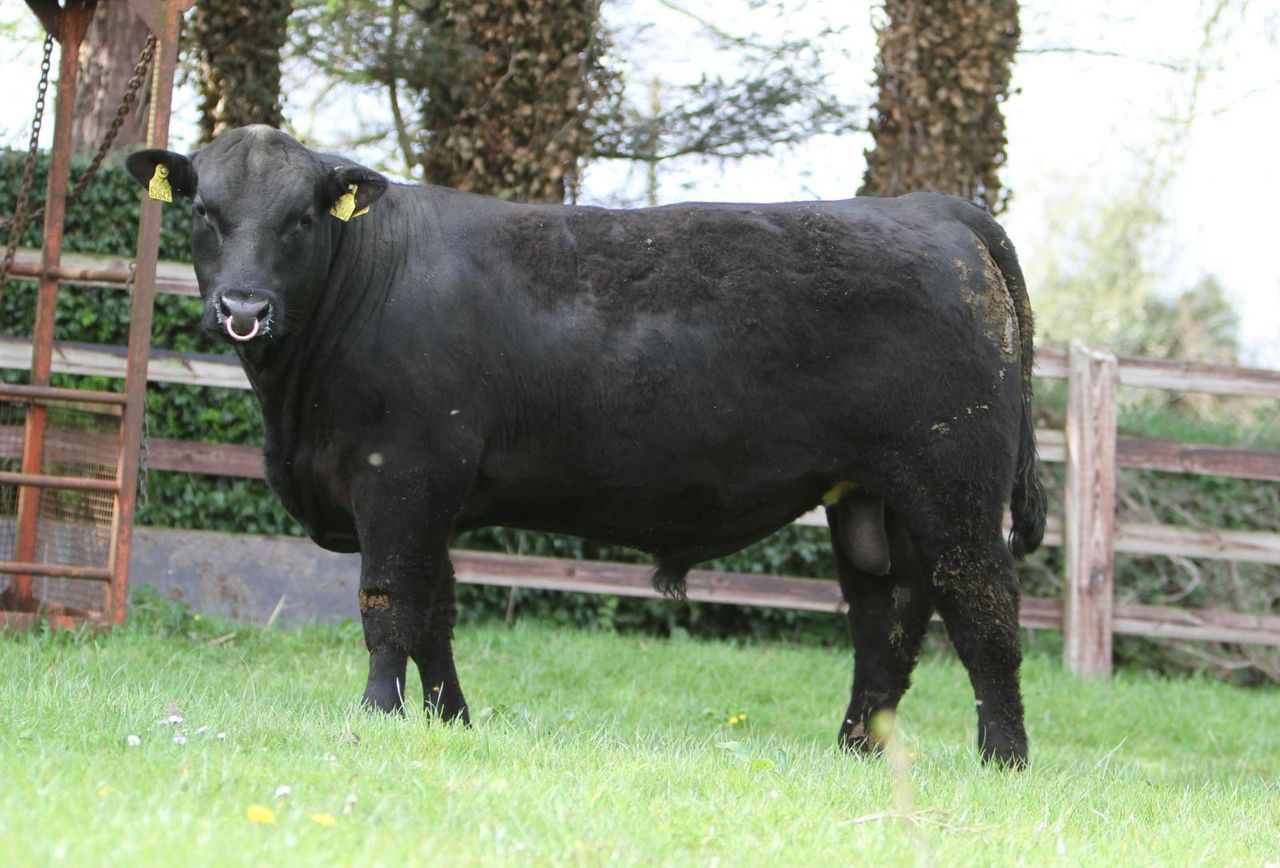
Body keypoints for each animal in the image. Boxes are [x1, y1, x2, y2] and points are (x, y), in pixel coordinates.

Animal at [127, 126, 1046, 767]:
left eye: (300, 218)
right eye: (205, 213)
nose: (244, 307)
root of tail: (927, 206)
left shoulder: (400, 478)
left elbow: (387, 604)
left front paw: (377, 716)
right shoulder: (435, 496)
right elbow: (436, 615)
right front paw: (452, 721)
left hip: (954, 486)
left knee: (985, 613)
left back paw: (1002, 760)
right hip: (871, 501)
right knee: (887, 625)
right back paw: (856, 752)